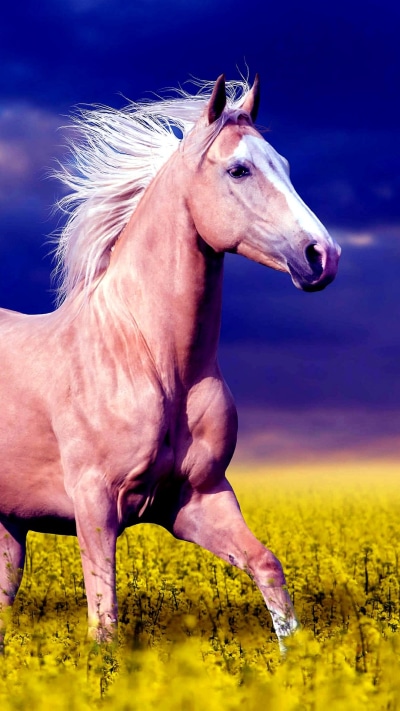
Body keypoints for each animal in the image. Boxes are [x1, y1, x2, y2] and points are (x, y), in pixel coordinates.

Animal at [0, 75, 340, 651]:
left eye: (285, 165)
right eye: (239, 169)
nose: (322, 256)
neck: (150, 361)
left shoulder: (198, 500)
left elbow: (267, 568)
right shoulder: (95, 505)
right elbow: (104, 621)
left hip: (9, 524)